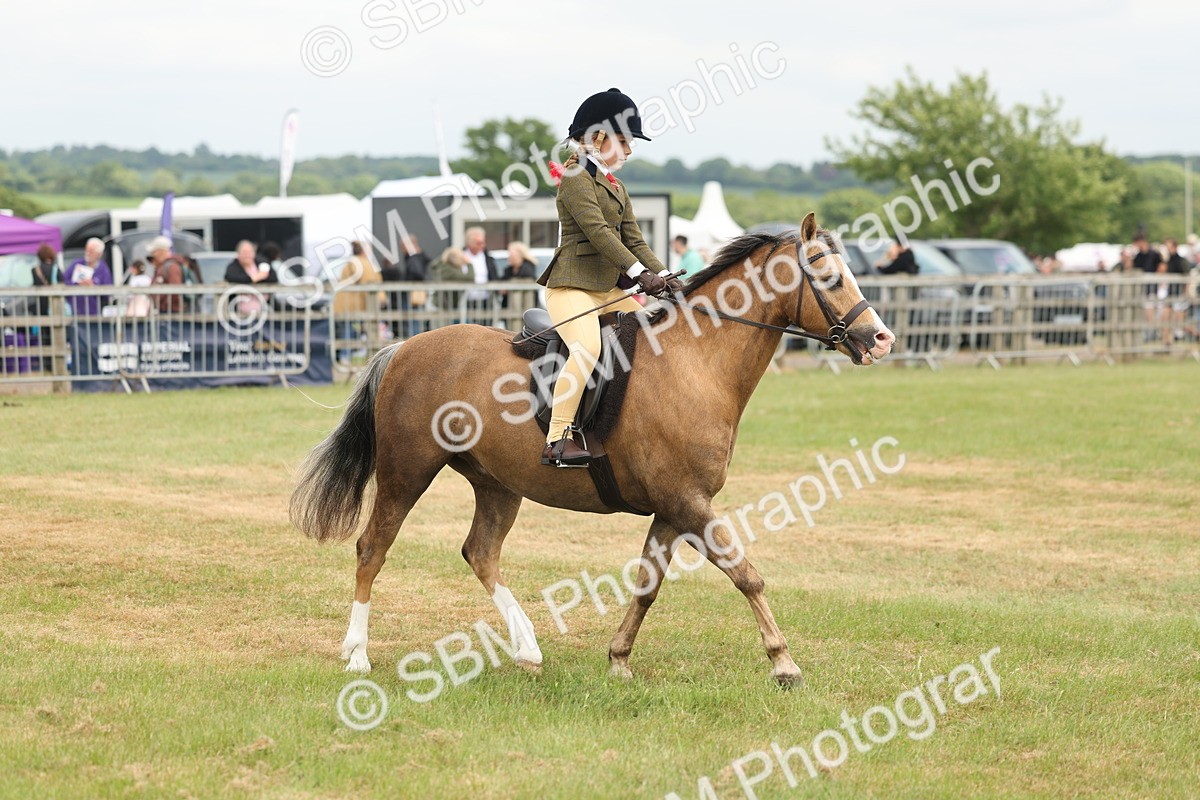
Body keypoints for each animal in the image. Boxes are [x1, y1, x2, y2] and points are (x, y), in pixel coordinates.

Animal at [290, 213, 895, 686]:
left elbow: (648, 585)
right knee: (373, 548)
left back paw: (528, 647)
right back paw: (358, 655)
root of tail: (403, 347)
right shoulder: (689, 502)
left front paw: (619, 658)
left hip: (497, 483)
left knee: (481, 552)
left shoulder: (674, 507)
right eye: (828, 275)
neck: (695, 360)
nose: (881, 340)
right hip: (407, 472)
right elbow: (746, 573)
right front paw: (783, 663)